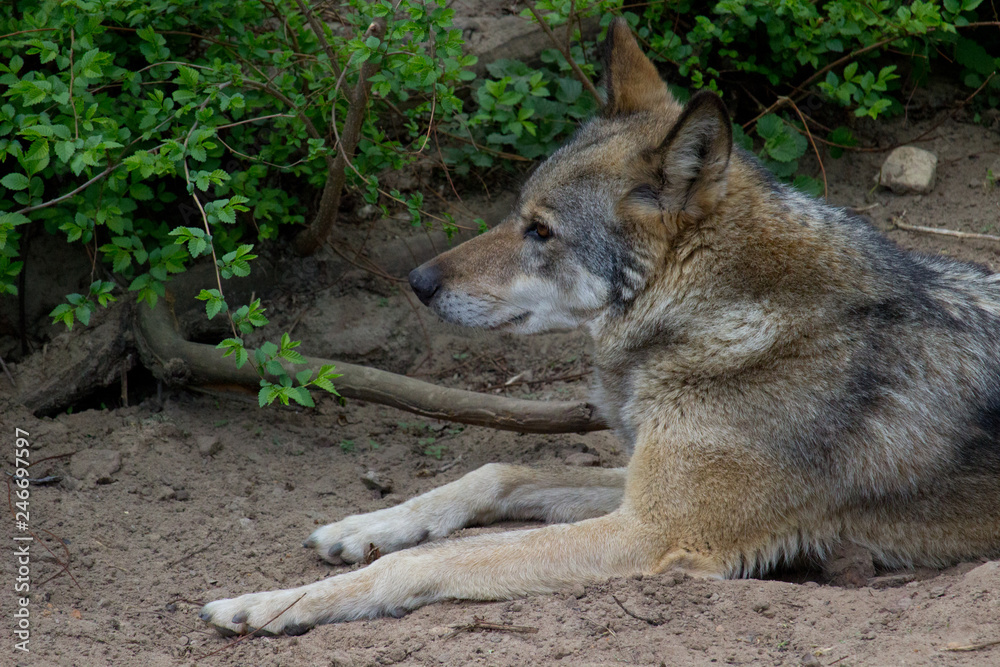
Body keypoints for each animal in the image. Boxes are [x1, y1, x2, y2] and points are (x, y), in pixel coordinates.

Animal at [200, 18, 1000, 636]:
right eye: (516, 213)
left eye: (541, 231)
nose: (418, 282)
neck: (720, 321)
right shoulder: (638, 487)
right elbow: (498, 471)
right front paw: (363, 527)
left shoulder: (652, 532)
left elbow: (433, 559)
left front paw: (272, 603)